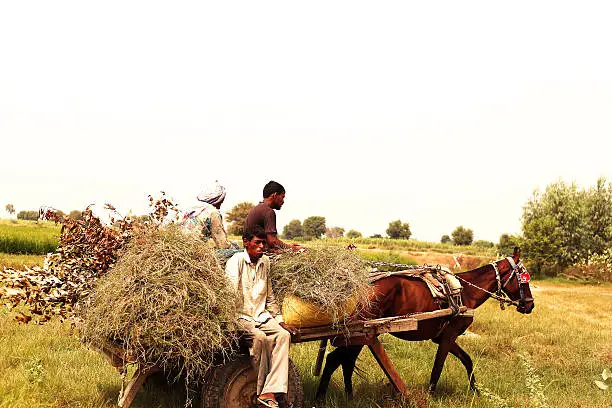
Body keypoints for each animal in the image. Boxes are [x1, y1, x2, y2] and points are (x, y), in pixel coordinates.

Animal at [316, 249, 536, 398]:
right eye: (523, 279)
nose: (530, 305)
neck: (465, 292)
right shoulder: (448, 337)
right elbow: (438, 367)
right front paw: (431, 394)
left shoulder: (443, 337)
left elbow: (467, 360)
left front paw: (476, 391)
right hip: (363, 333)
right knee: (337, 360)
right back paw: (322, 396)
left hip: (363, 335)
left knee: (344, 361)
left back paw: (345, 395)